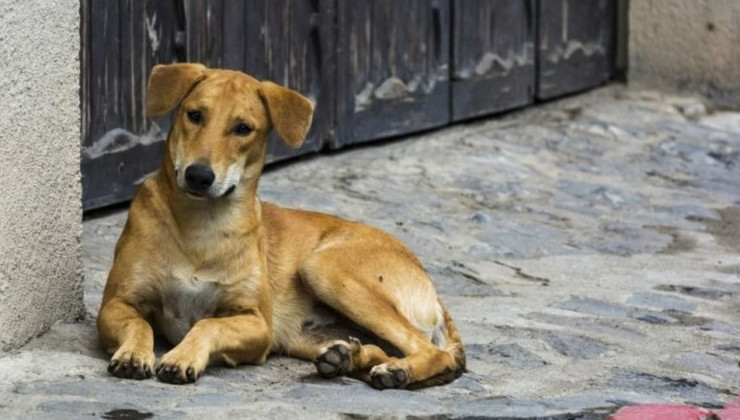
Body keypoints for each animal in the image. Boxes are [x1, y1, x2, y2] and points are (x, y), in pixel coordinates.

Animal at [97, 64, 468, 388]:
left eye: (243, 128)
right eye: (195, 115)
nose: (198, 176)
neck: (201, 227)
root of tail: (432, 288)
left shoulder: (257, 323)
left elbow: (207, 325)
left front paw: (182, 356)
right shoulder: (116, 304)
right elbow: (139, 324)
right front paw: (133, 354)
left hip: (324, 268)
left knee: (431, 351)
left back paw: (395, 371)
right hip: (308, 332)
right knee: (381, 349)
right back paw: (346, 358)